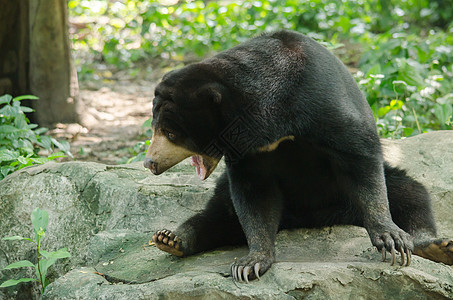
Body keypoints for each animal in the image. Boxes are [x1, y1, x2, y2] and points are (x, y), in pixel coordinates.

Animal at [144, 29, 452, 282]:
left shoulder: (321, 104)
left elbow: (360, 157)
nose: (150, 163)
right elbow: (253, 194)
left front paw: (391, 239)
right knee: (219, 215)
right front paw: (249, 263)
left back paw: (436, 246)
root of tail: (313, 218)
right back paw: (170, 239)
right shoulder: (249, 151)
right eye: (154, 127)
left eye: (170, 133)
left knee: (411, 194)